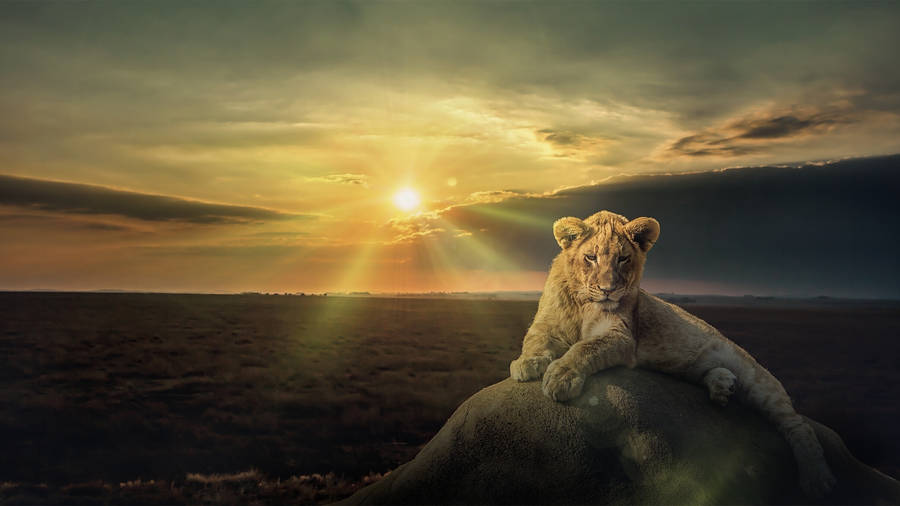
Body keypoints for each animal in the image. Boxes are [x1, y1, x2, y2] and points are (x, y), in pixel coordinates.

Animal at [509, 210, 836, 498]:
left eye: (623, 259)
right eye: (590, 257)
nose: (607, 290)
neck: (582, 303)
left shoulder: (622, 335)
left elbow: (584, 347)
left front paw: (560, 377)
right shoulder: (545, 322)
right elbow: (533, 341)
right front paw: (527, 364)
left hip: (759, 381)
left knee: (798, 426)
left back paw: (818, 479)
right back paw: (722, 387)